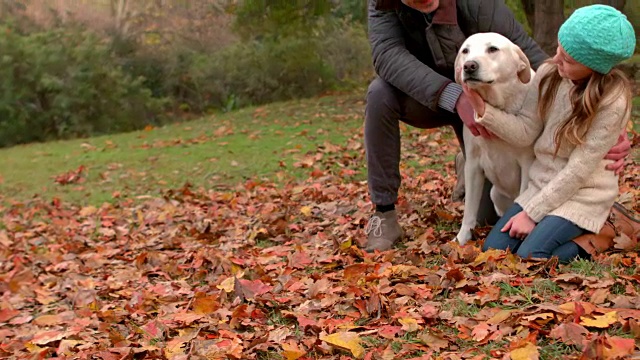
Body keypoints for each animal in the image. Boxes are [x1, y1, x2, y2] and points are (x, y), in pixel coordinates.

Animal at [452, 33, 536, 245]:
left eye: (492, 49)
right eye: (465, 51)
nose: (469, 66)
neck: (497, 105)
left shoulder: (527, 163)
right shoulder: (473, 164)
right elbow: (469, 210)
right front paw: (461, 240)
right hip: (494, 194)